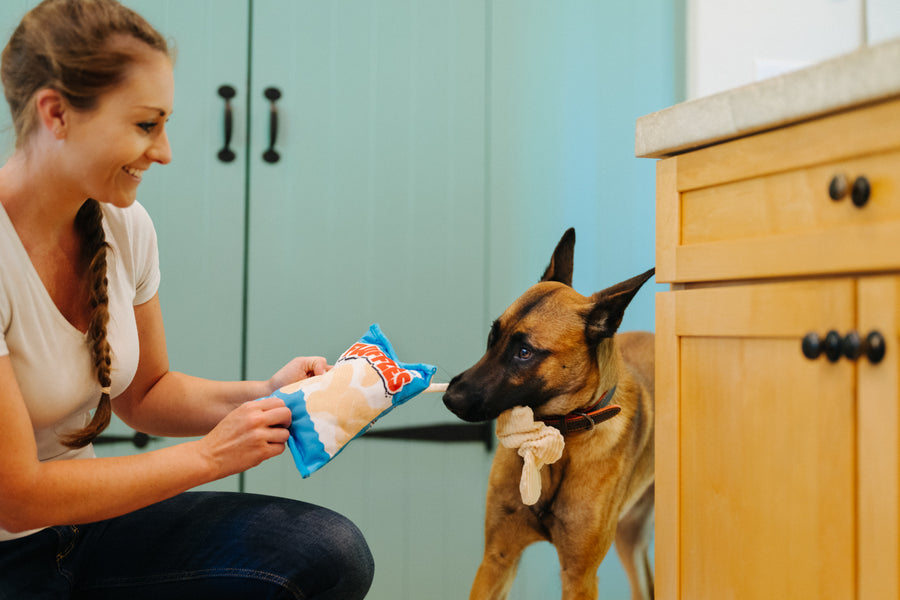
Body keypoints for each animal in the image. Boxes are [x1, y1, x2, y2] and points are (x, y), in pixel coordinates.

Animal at [442, 230, 652, 600]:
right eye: (492, 336)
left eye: (524, 353)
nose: (449, 399)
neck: (557, 433)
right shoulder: (497, 559)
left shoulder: (579, 577)